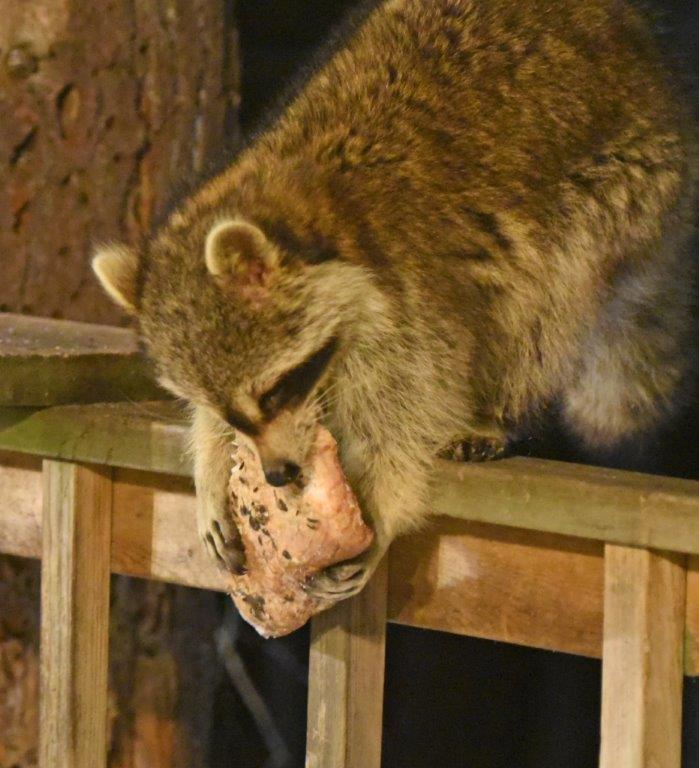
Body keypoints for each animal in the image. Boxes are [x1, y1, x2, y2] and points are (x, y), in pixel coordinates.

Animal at [94, 0, 697, 599]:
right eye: (238, 410)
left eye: (275, 391)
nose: (279, 474)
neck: (304, 188)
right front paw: (214, 460)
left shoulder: (415, 294)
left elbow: (412, 409)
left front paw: (383, 507)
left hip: (626, 179)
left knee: (553, 292)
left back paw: (502, 407)